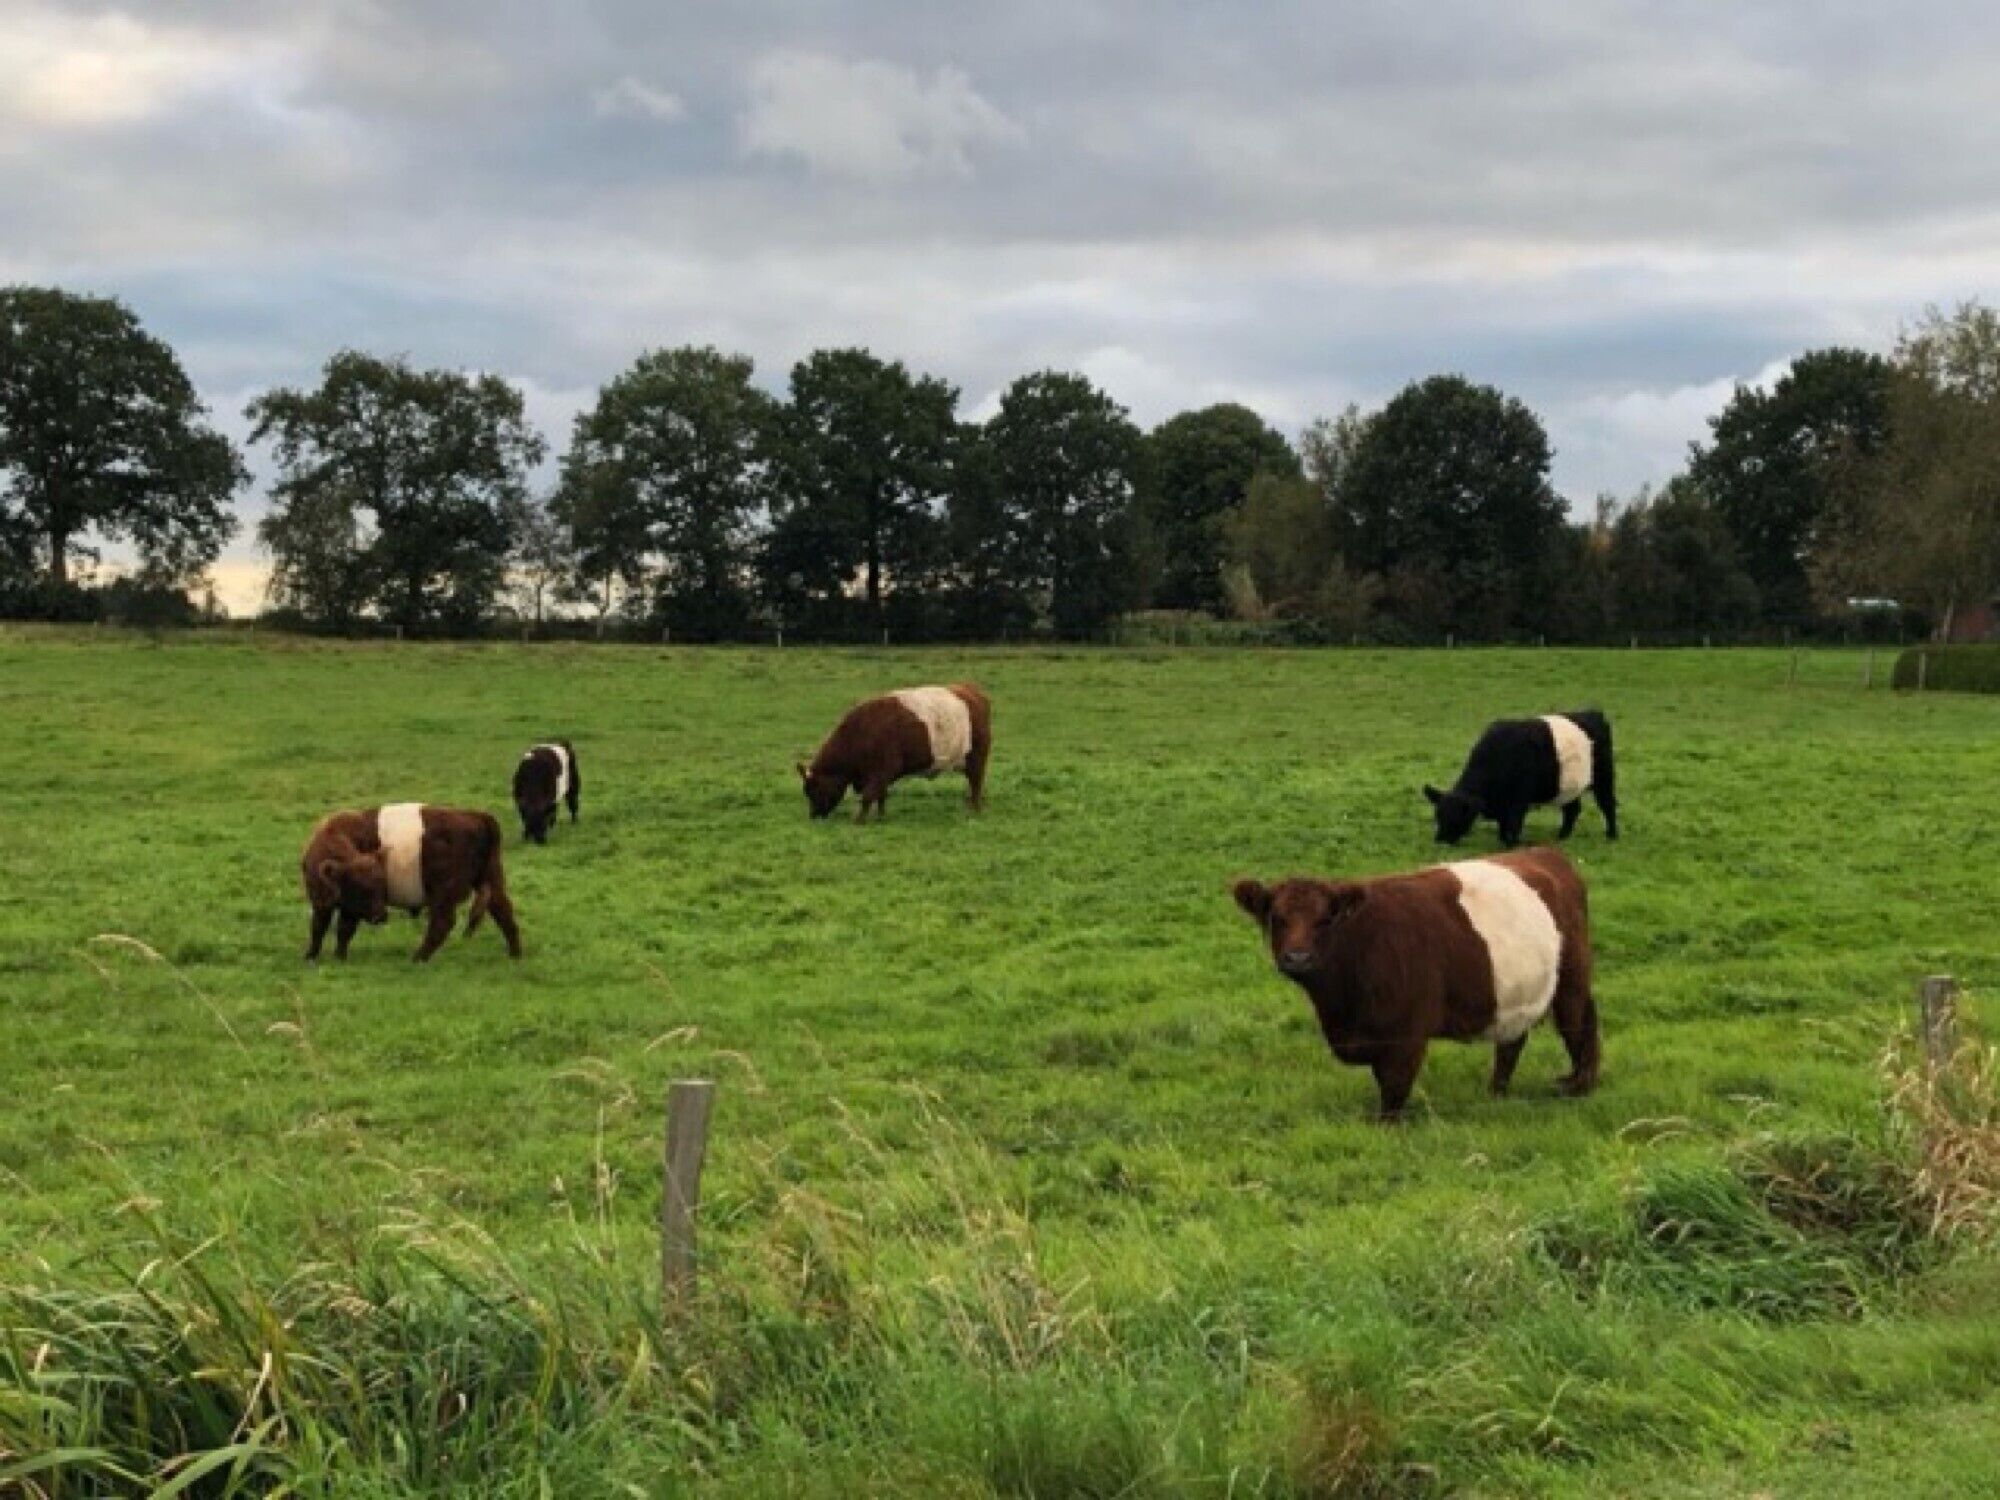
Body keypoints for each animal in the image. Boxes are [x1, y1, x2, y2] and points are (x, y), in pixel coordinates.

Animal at [301, 804, 522, 963]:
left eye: (379, 885)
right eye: (361, 887)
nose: (381, 915)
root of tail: (477, 816)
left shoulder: (338, 906)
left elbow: (330, 928)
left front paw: (315, 956)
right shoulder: (329, 904)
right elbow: (329, 929)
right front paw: (328, 956)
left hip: (443, 893)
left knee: (442, 923)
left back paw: (418, 957)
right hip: (491, 880)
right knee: (503, 911)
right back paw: (515, 954)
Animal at [799, 683, 992, 822]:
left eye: (814, 788)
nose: (813, 816)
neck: (860, 732)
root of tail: (970, 690)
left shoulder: (883, 770)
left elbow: (868, 795)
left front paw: (859, 819)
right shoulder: (880, 775)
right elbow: (881, 795)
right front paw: (880, 816)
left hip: (976, 758)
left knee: (976, 783)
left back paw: (975, 810)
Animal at [1232, 846, 1598, 1120]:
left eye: (1325, 920)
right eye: (1277, 918)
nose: (1297, 958)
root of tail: (1546, 853)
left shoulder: (1406, 1034)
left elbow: (1394, 1088)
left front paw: (1387, 1127)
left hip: (1571, 980)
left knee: (1579, 1024)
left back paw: (1579, 1085)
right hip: (1515, 993)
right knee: (1513, 1041)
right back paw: (1497, 1091)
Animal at [1425, 710, 1619, 847]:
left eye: (1458, 815)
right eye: (1438, 814)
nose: (1440, 840)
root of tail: (1594, 712)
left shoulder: (1518, 801)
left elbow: (1513, 825)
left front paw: (1512, 845)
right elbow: (1504, 825)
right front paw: (1503, 840)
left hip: (1604, 778)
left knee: (1607, 804)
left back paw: (1612, 835)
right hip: (1568, 786)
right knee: (1572, 810)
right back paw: (1562, 836)